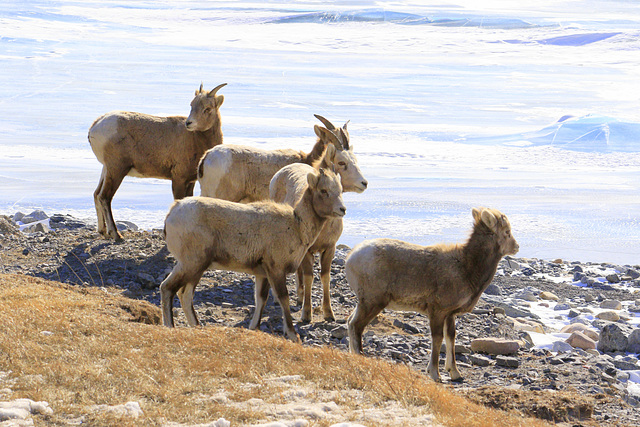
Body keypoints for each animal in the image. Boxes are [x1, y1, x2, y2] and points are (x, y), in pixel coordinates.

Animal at [87, 83, 228, 241]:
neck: (196, 140)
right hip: (116, 169)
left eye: (207, 108)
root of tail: (95, 127)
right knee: (105, 197)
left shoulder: (190, 181)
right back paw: (116, 235)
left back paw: (103, 232)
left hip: (107, 169)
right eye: (192, 105)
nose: (189, 123)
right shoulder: (178, 179)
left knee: (96, 194)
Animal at [162, 167, 348, 342]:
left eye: (340, 190)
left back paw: (197, 327)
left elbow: (261, 299)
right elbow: (283, 298)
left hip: (195, 268)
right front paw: (293, 335)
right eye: (323, 191)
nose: (342, 209)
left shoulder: (262, 273)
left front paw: (254, 328)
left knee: (184, 294)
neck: (297, 225)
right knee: (168, 288)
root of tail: (171, 214)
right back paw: (170, 327)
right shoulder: (276, 270)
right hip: (192, 264)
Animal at [344, 209, 520, 382]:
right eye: (507, 232)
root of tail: (350, 259)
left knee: (350, 321)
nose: (517, 247)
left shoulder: (450, 314)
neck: (467, 269)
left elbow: (450, 338)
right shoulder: (437, 311)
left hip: (364, 302)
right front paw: (435, 374)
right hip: (373, 301)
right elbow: (437, 339)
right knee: (357, 325)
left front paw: (455, 373)